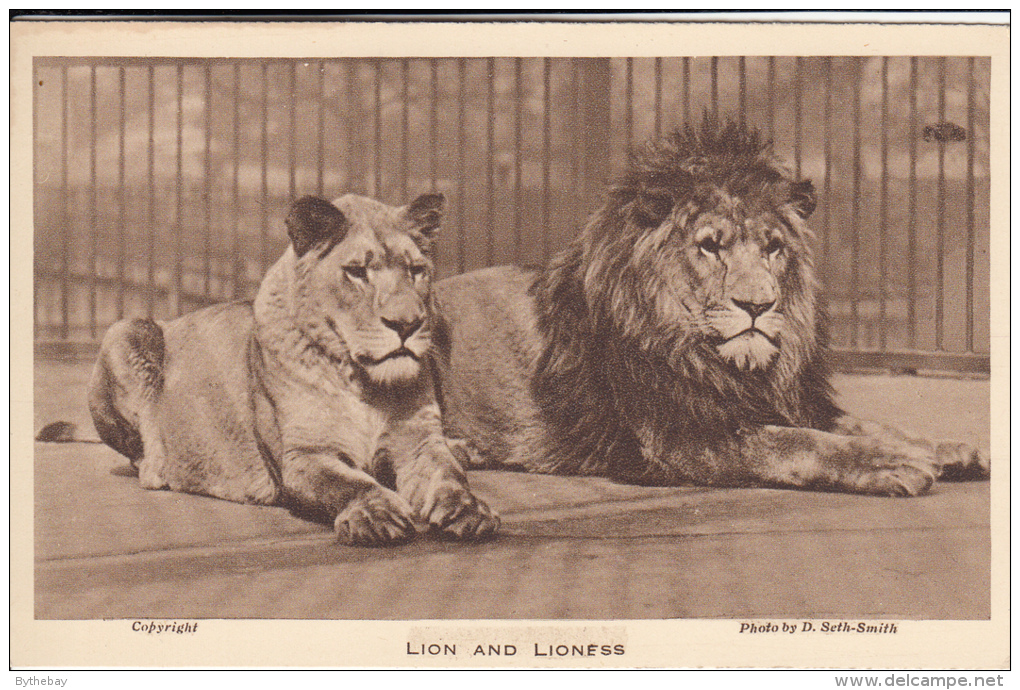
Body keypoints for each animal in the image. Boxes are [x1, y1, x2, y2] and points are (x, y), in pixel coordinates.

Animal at [89, 189, 495, 543]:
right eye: (357, 272)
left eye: (416, 270)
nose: (408, 324)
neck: (364, 383)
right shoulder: (304, 455)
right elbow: (349, 484)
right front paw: (375, 513)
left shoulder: (420, 443)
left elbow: (449, 477)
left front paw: (469, 509)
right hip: (127, 330)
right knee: (141, 453)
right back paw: (159, 470)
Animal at [436, 119, 987, 496]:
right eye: (710, 246)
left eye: (773, 247)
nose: (757, 304)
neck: (732, 369)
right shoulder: (682, 437)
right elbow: (798, 443)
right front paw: (890, 463)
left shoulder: (788, 403)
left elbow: (863, 424)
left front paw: (941, 448)